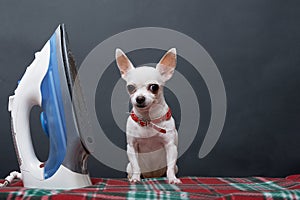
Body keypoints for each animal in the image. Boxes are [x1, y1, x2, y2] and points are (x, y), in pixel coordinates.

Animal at [115, 47, 180, 184]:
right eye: (130, 87)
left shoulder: (171, 147)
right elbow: (136, 166)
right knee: (131, 169)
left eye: (154, 87)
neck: (147, 120)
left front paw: (172, 179)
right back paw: (131, 178)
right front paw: (135, 179)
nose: (139, 98)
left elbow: (170, 167)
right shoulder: (131, 147)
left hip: (174, 167)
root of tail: (152, 175)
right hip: (128, 166)